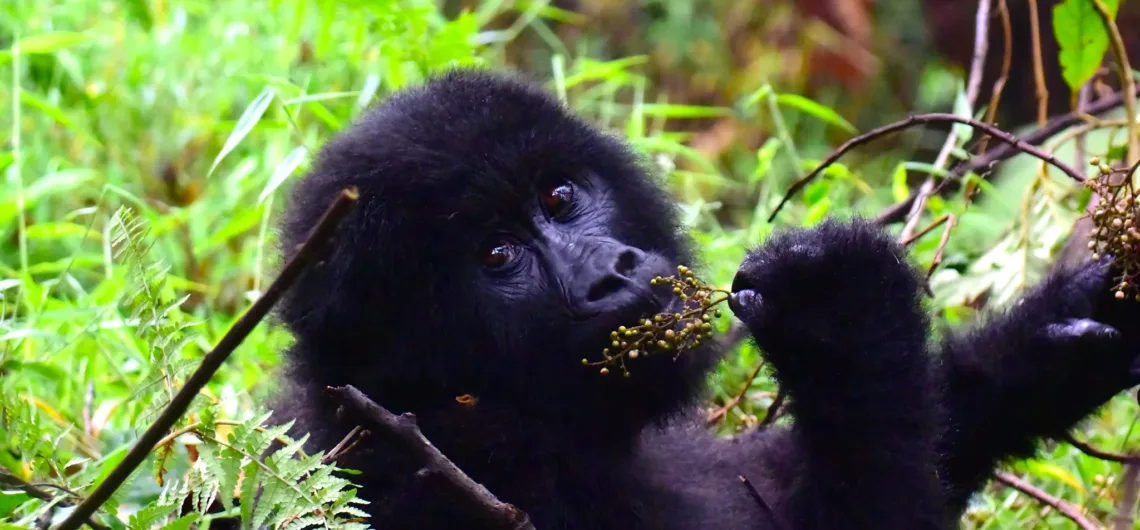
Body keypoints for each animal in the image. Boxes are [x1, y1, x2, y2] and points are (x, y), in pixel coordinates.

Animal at [269, 68, 1140, 526]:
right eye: (497, 256)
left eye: (560, 197)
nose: (612, 270)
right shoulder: (441, 486)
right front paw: (842, 321)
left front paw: (1064, 334)